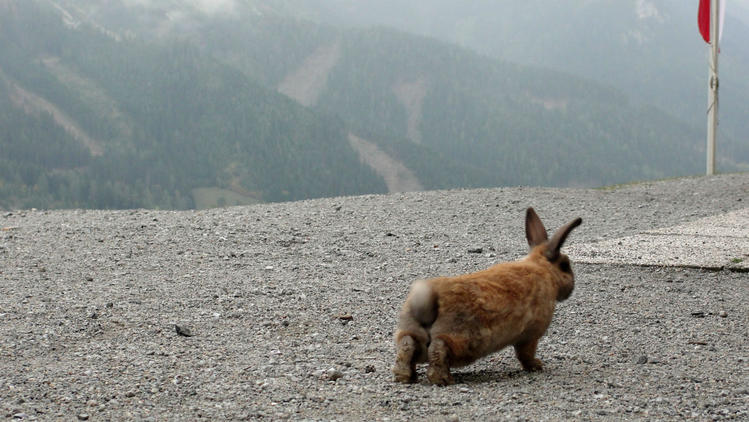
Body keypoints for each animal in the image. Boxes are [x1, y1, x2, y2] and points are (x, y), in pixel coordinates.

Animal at [394, 208, 580, 386]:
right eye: (565, 265)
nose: (572, 285)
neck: (544, 270)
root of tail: (427, 304)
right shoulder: (530, 335)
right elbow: (525, 354)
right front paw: (536, 365)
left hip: (412, 333)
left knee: (407, 346)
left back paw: (405, 377)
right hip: (462, 338)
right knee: (438, 349)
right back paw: (443, 380)